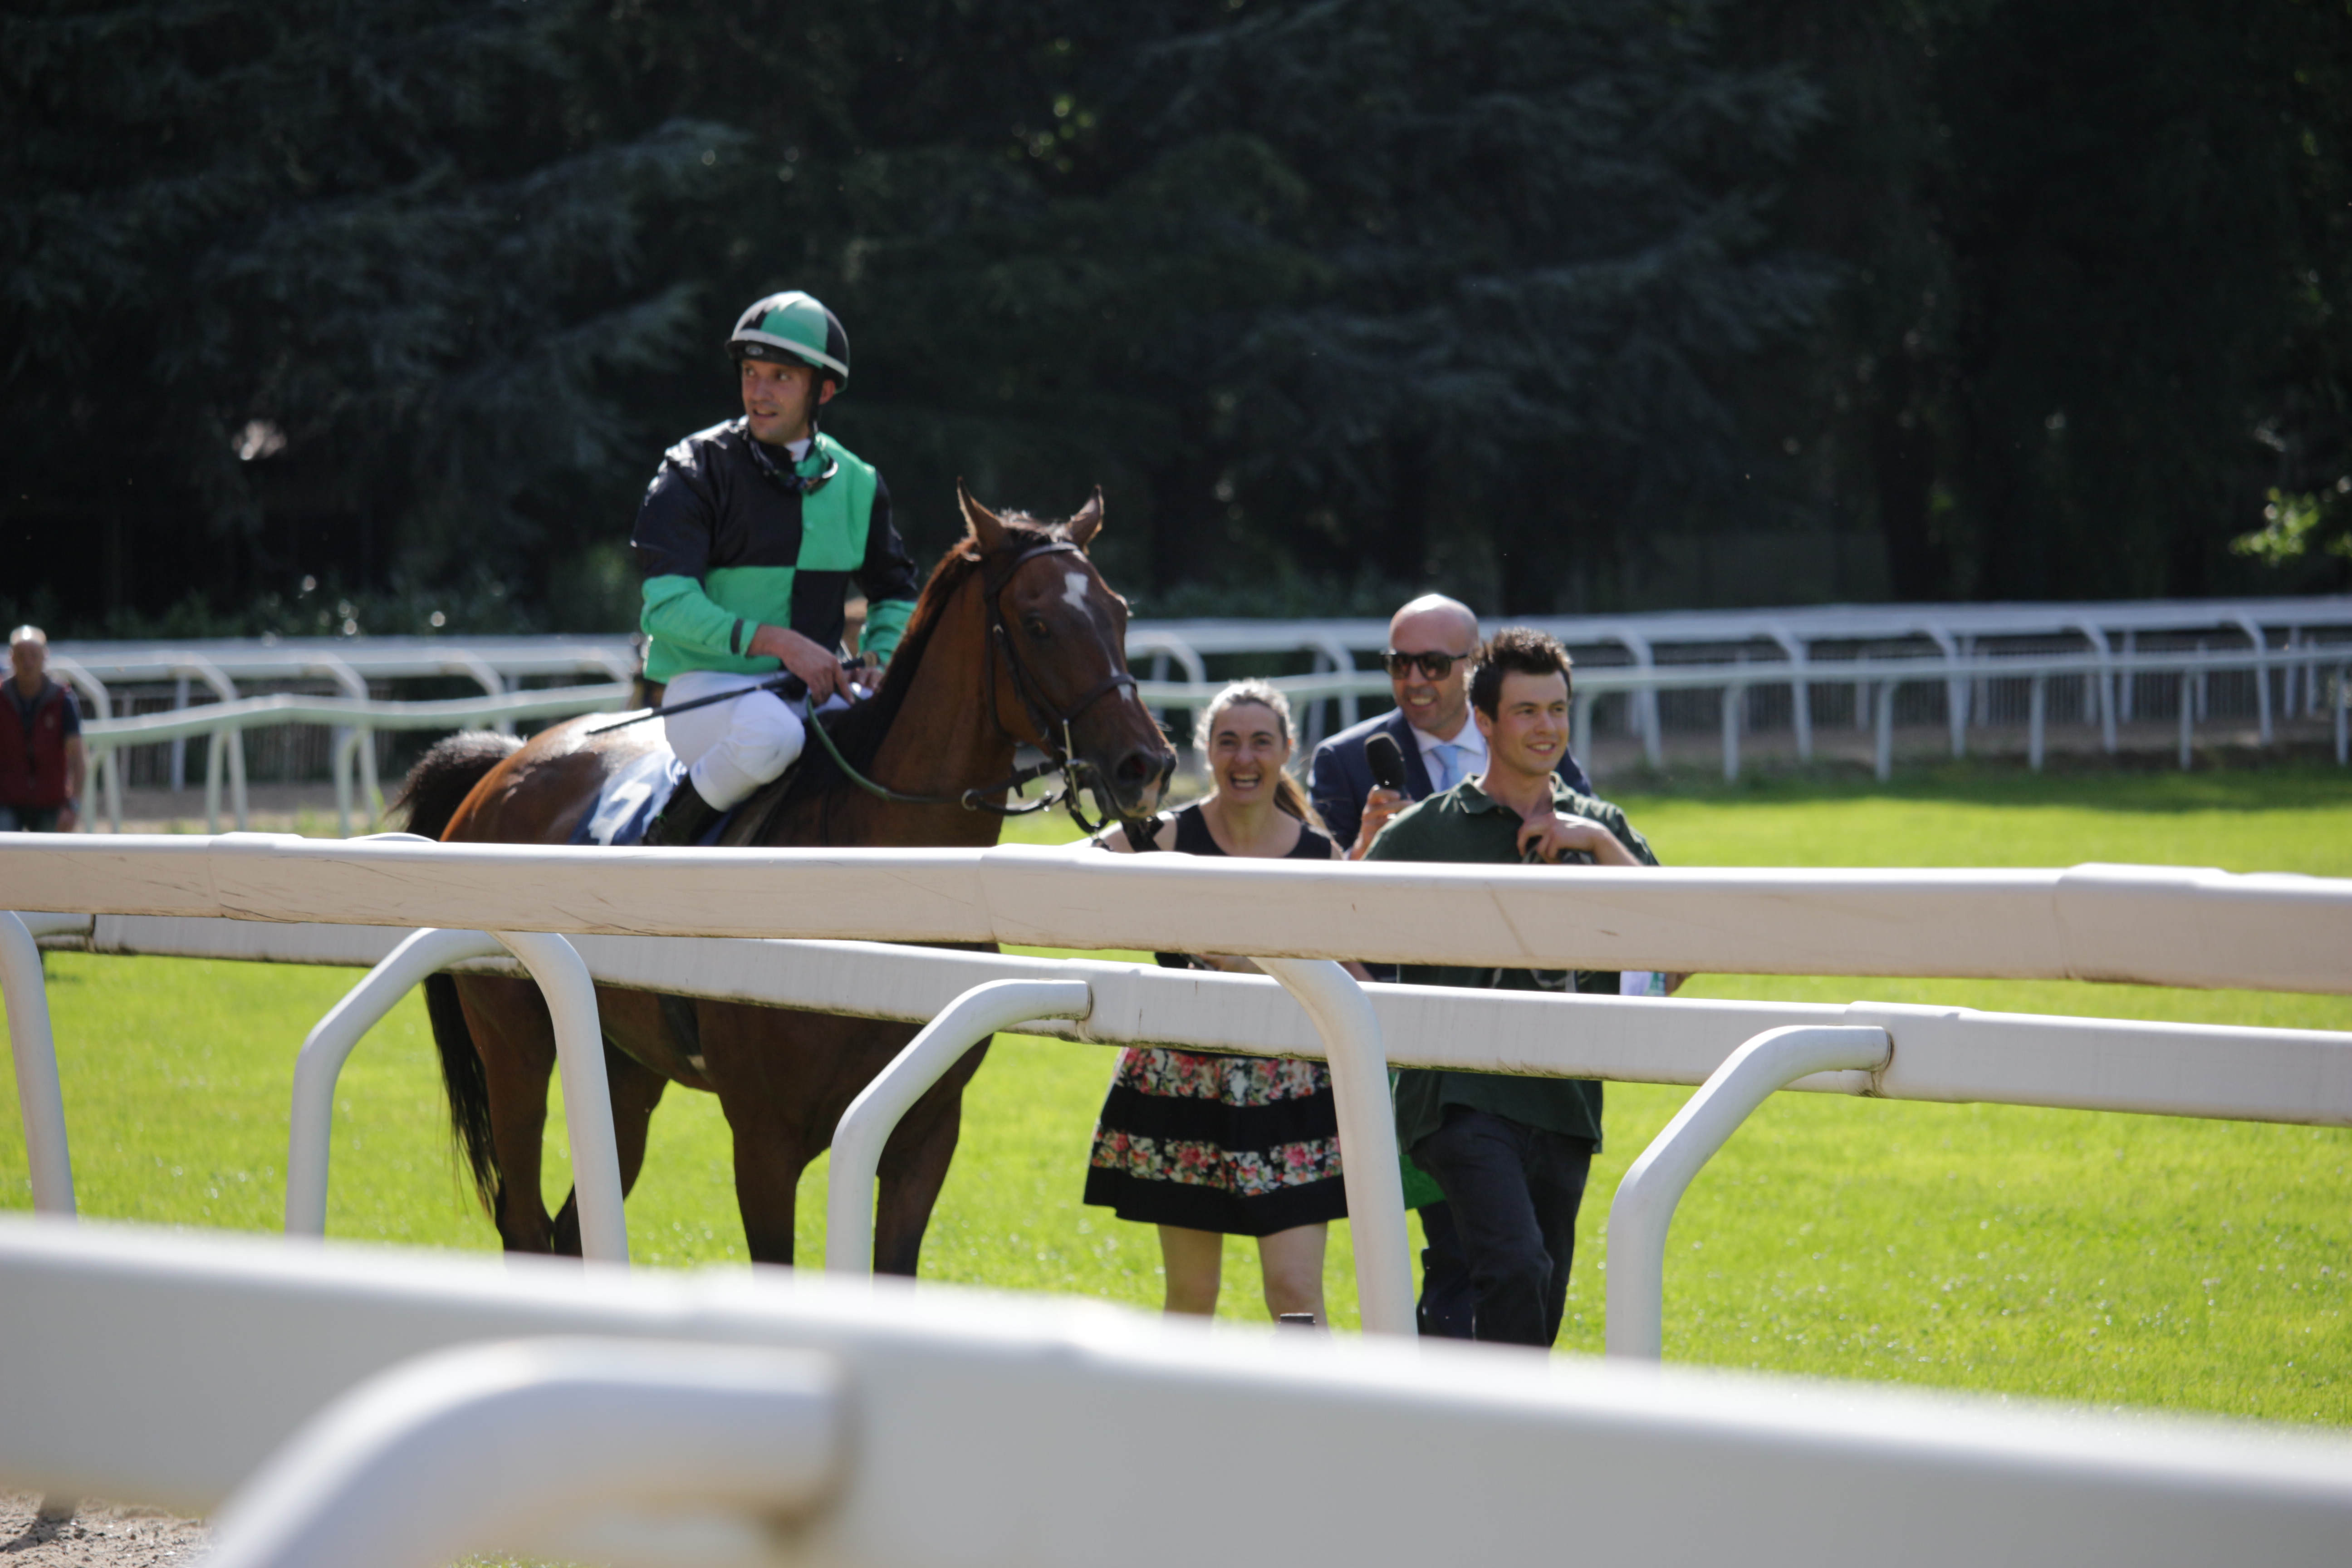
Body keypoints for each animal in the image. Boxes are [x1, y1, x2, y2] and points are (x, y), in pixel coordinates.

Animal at [400, 486, 1176, 1279]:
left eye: (1119, 612)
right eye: (1038, 623)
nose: (1146, 764)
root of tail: (501, 764)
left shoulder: (926, 1135)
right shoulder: (763, 1138)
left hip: (623, 1065)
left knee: (573, 1227)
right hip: (515, 1045)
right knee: (524, 1218)